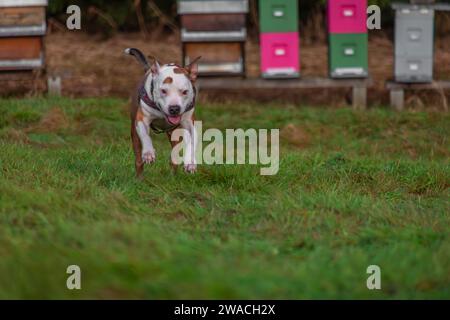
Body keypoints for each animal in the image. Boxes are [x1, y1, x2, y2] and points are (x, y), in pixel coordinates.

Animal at [124, 47, 200, 178]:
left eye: (185, 92)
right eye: (163, 91)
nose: (174, 108)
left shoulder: (190, 123)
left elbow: (192, 142)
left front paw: (190, 163)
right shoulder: (141, 119)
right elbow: (145, 136)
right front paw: (148, 153)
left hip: (173, 133)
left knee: (174, 155)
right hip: (134, 133)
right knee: (138, 158)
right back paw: (139, 178)